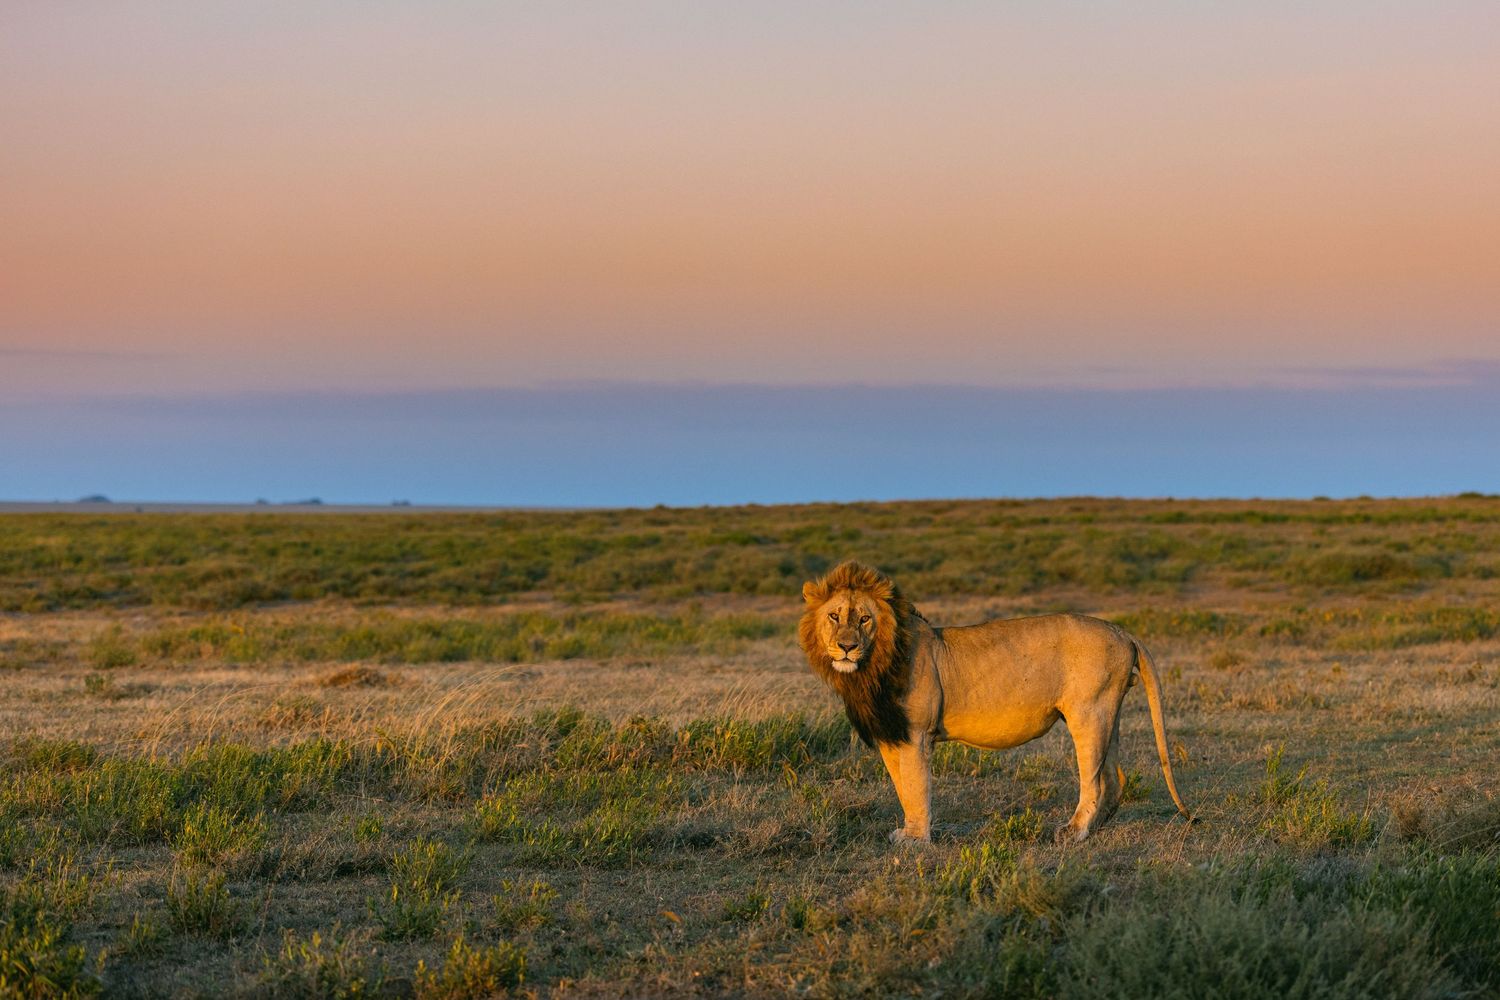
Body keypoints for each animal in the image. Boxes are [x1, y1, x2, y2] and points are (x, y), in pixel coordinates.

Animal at [799, 560, 1191, 844]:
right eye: (834, 616)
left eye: (865, 618)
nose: (846, 646)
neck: (868, 671)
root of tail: (1123, 630)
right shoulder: (891, 734)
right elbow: (901, 786)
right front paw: (909, 832)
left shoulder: (916, 734)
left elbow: (915, 785)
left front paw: (917, 840)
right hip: (1109, 713)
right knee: (1113, 777)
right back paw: (1094, 829)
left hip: (1088, 713)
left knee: (1092, 779)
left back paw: (1073, 832)